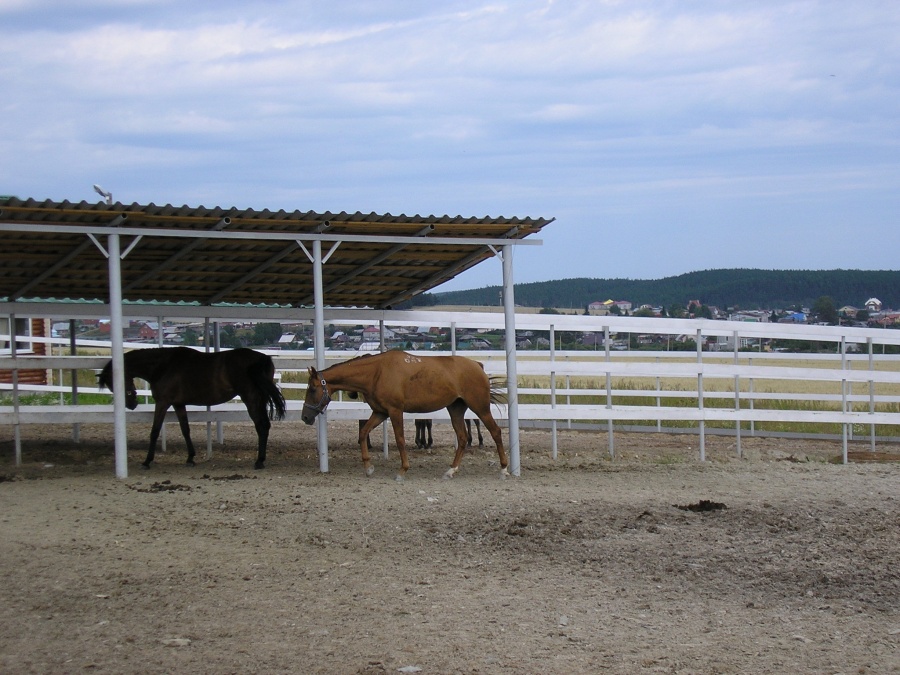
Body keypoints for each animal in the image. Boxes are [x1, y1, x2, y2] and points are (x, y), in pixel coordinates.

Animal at [97, 348, 284, 470]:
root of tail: (262, 358)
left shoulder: (163, 402)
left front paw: (147, 461)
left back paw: (259, 461)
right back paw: (261, 459)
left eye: (115, 382)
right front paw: (190, 458)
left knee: (261, 426)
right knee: (265, 425)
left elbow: (155, 431)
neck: (163, 365)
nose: (131, 404)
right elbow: (185, 429)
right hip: (259, 399)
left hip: (250, 398)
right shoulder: (179, 404)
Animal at [302, 352, 506, 478]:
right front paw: (368, 467)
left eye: (312, 388)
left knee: (495, 432)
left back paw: (504, 469)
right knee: (462, 438)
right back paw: (450, 471)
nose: (305, 417)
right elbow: (363, 433)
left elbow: (400, 439)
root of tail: (478, 365)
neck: (377, 372)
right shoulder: (380, 412)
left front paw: (402, 470)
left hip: (480, 408)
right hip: (455, 409)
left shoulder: (395, 411)